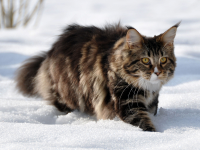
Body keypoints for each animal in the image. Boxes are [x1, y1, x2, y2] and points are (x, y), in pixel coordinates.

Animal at [15, 21, 180, 131]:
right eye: (145, 60)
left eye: (163, 60)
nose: (157, 72)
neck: (147, 88)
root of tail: (51, 50)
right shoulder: (127, 103)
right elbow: (143, 124)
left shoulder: (151, 103)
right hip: (68, 92)